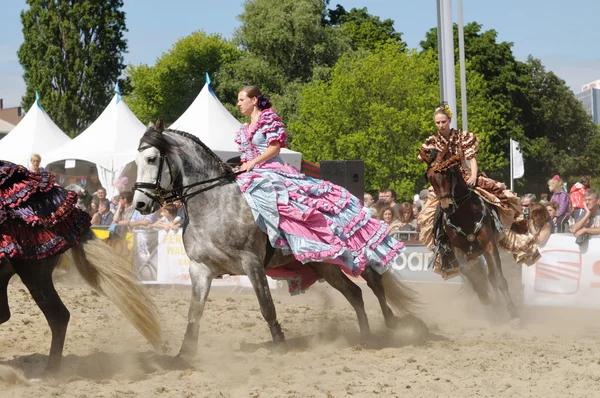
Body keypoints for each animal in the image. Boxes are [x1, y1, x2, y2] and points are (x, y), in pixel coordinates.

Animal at [132, 123, 422, 358]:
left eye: (151, 158)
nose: (140, 204)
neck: (213, 203)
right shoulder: (200, 269)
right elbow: (194, 313)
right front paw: (185, 354)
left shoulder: (252, 264)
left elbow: (267, 307)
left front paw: (280, 344)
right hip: (325, 264)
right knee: (355, 293)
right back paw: (365, 337)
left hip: (352, 252)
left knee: (373, 280)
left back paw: (391, 324)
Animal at [420, 147, 516, 320]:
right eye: (429, 177)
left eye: (448, 172)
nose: (447, 206)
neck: (465, 215)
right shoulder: (459, 250)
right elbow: (470, 274)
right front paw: (484, 297)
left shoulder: (489, 245)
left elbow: (499, 279)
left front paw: (513, 313)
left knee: (491, 276)